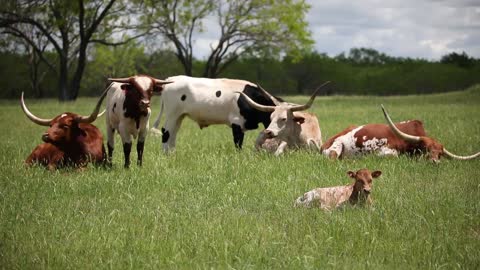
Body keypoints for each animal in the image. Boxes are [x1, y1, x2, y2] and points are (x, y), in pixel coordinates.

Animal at [151, 75, 282, 152]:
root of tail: (170, 79)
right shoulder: (236, 122)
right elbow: (238, 143)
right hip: (172, 114)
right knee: (166, 132)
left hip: (179, 116)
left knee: (173, 134)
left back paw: (172, 154)